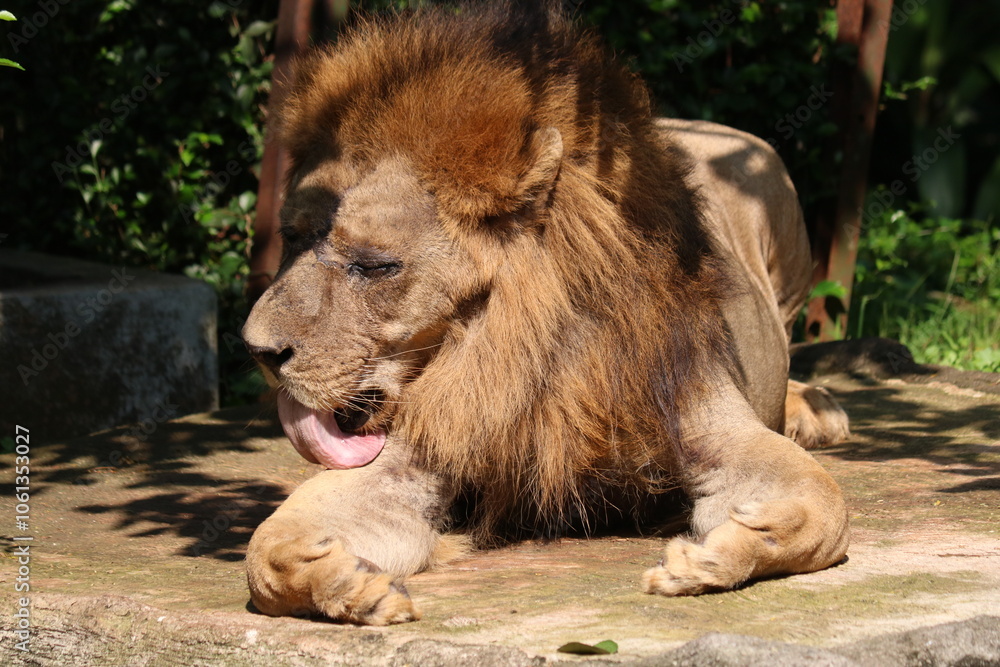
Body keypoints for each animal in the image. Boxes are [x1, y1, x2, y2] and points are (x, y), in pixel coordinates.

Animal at [242, 2, 852, 628]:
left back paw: (815, 410)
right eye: (289, 237)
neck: (533, 349)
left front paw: (709, 558)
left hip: (776, 203)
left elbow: (823, 510)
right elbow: (266, 553)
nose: (256, 349)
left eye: (375, 265)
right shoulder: (420, 450)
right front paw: (345, 580)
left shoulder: (708, 413)